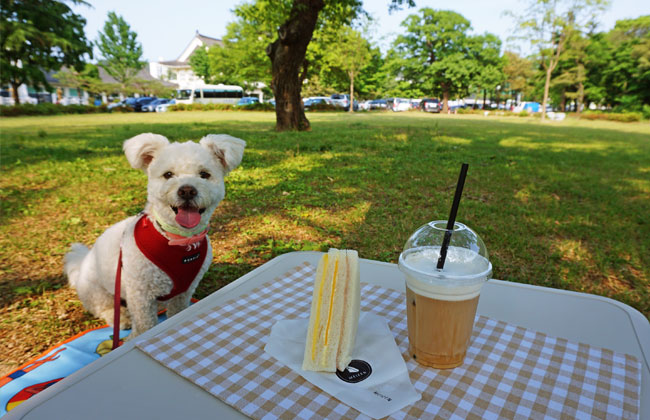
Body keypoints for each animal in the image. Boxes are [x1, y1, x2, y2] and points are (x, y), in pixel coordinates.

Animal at [64, 133, 246, 340]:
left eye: (204, 174)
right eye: (168, 174)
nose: (187, 190)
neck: (178, 241)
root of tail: (82, 261)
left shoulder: (184, 291)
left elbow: (176, 312)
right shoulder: (141, 295)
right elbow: (145, 326)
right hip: (96, 290)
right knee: (105, 308)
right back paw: (122, 319)